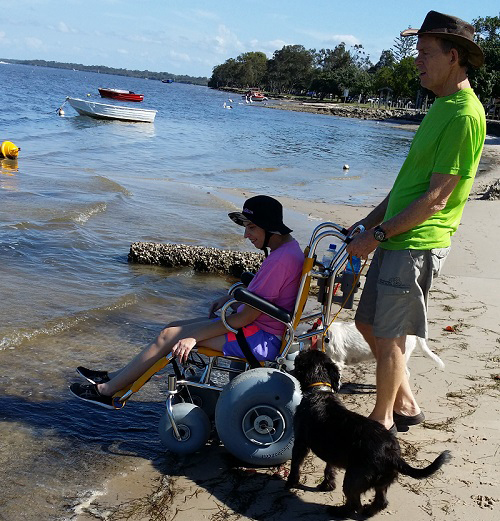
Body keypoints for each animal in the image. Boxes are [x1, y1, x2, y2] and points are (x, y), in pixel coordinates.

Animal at [286, 348, 454, 516]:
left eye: (298, 360)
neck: (319, 392)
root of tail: (392, 454)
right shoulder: (330, 452)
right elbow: (329, 468)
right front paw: (327, 485)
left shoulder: (300, 442)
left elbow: (295, 464)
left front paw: (290, 483)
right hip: (381, 482)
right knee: (381, 501)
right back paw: (368, 512)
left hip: (353, 479)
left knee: (354, 504)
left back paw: (338, 511)